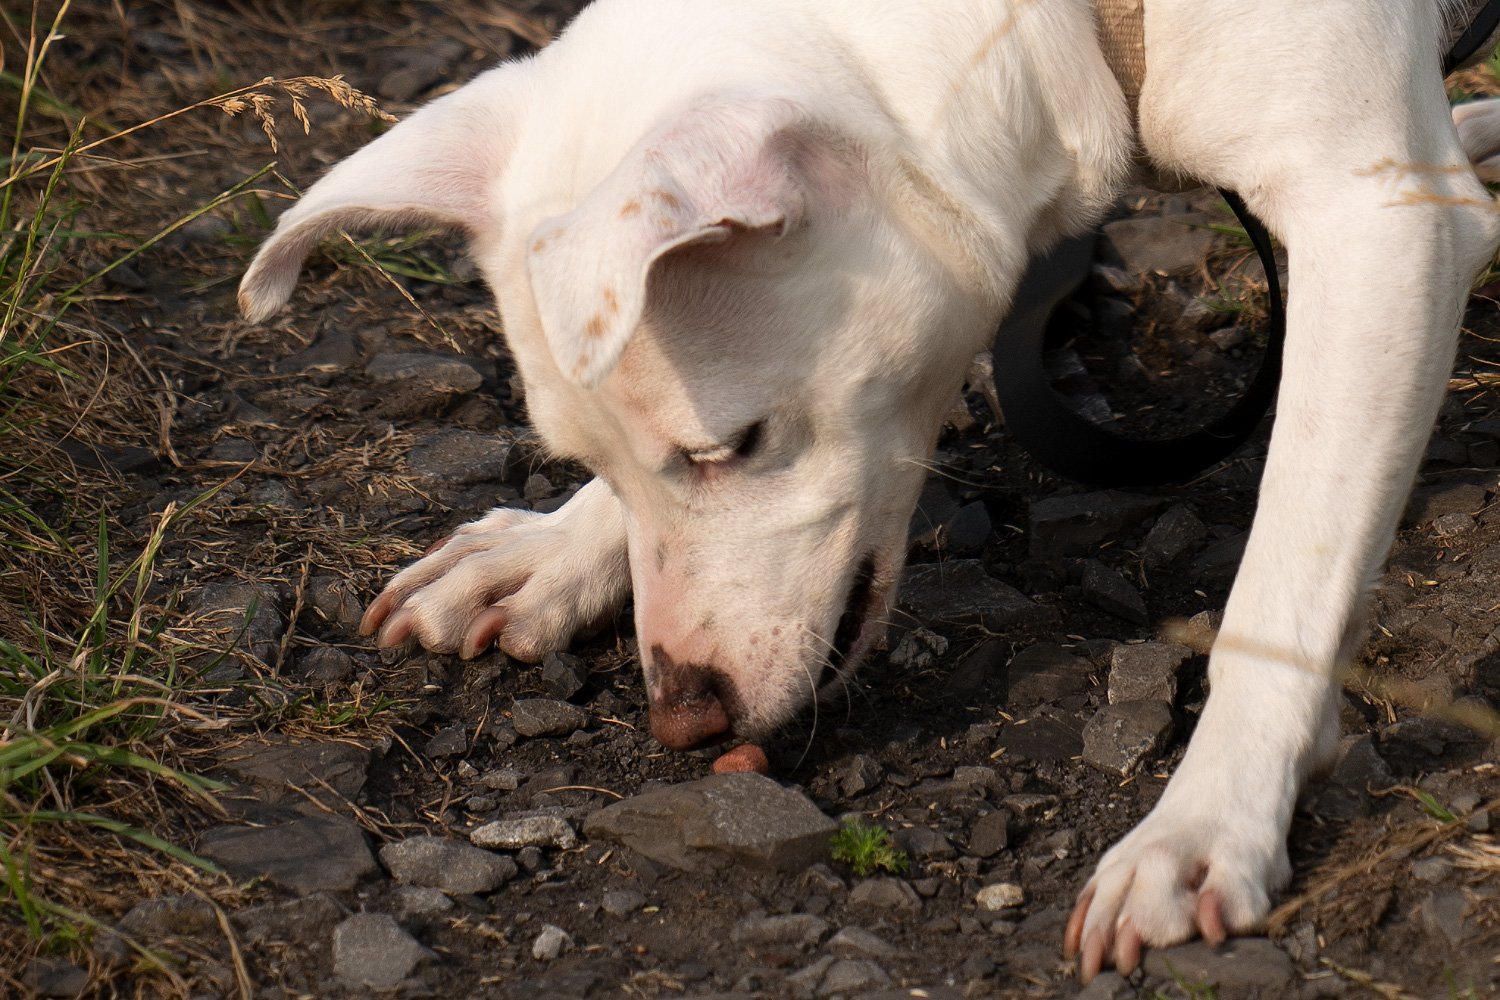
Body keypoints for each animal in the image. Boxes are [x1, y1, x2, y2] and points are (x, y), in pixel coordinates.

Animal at [240, 0, 1500, 983]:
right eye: (585, 457)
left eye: (732, 443)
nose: (684, 717)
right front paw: (551, 549)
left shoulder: (1375, 225)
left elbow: (1287, 580)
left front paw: (1207, 816)